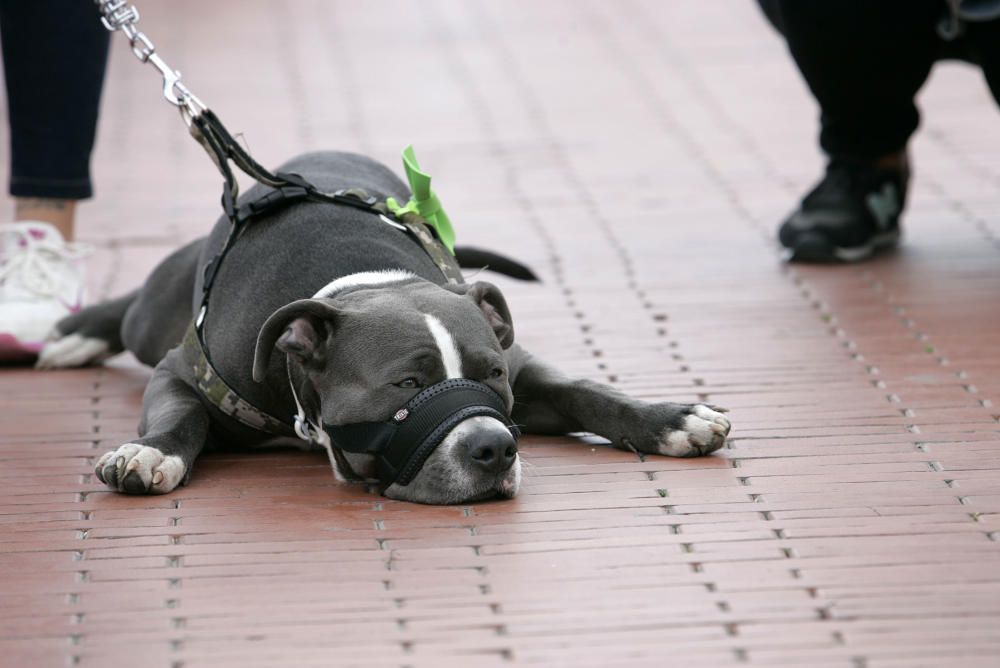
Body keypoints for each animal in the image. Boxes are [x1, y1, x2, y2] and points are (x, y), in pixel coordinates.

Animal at [39, 151, 732, 504]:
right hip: (155, 318)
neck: (369, 281)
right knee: (133, 310)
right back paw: (75, 331)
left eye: (492, 375)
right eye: (405, 385)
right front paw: (149, 452)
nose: (496, 448)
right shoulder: (184, 372)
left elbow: (584, 389)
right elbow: (178, 416)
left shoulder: (524, 371)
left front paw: (671, 419)